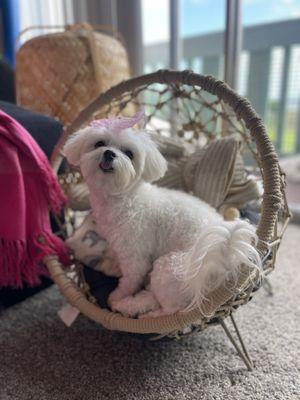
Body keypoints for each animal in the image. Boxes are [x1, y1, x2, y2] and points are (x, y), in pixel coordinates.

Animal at [63, 111, 260, 318]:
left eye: (129, 154)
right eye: (99, 143)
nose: (109, 153)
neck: (124, 197)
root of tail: (222, 262)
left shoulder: (135, 257)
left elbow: (129, 281)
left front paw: (117, 295)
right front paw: (113, 265)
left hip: (169, 269)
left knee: (170, 309)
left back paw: (131, 307)